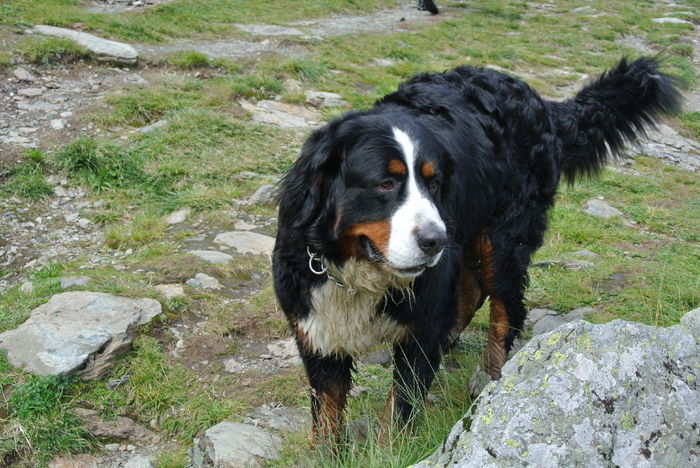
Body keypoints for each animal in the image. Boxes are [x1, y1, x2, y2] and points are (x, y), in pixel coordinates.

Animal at [272, 56, 680, 440]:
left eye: (434, 183)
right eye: (385, 183)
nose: (435, 240)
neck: (358, 273)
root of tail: (537, 100)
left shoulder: (423, 319)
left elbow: (400, 407)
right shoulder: (317, 328)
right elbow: (326, 413)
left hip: (503, 239)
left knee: (504, 303)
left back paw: (489, 374)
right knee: (472, 291)